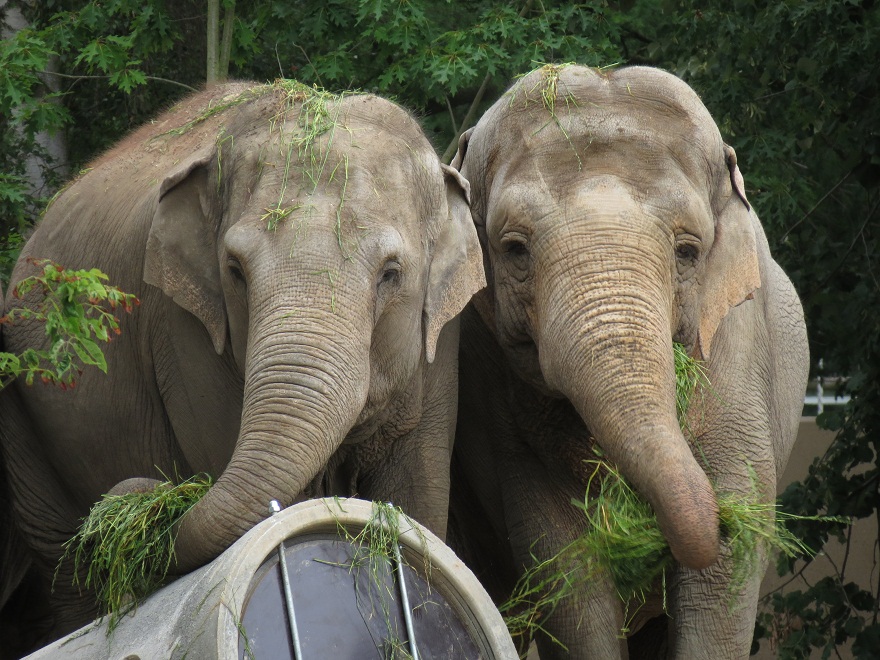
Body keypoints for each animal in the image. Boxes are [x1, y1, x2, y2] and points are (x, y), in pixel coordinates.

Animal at [0, 80, 485, 653]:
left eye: (391, 273)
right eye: (234, 270)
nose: (143, 491)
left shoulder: (441, 344)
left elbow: (417, 493)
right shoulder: (183, 331)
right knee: (66, 571)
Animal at [446, 65, 809, 658]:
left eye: (688, 251)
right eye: (514, 248)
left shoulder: (737, 352)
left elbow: (728, 567)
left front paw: (731, 526)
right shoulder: (503, 408)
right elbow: (566, 567)